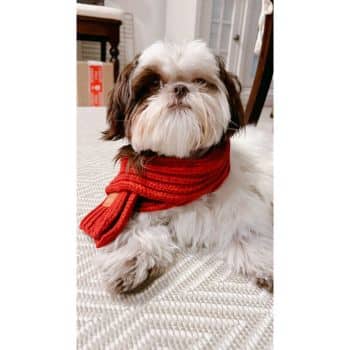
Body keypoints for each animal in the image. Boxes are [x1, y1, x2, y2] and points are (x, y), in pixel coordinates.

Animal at [93, 40, 274, 292]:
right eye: (154, 83)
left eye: (200, 81)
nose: (180, 88)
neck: (181, 169)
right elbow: (140, 230)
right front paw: (131, 259)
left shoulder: (243, 204)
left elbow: (250, 230)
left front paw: (263, 260)